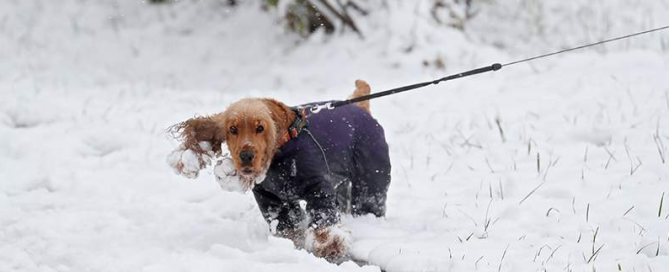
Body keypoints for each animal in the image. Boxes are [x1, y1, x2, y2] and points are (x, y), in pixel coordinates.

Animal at [166, 81, 392, 262]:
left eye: (260, 128)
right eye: (232, 129)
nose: (246, 156)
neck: (283, 150)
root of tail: (361, 107)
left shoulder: (317, 187)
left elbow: (323, 216)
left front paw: (330, 246)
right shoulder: (271, 198)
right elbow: (286, 225)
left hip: (371, 179)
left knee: (370, 201)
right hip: (344, 186)